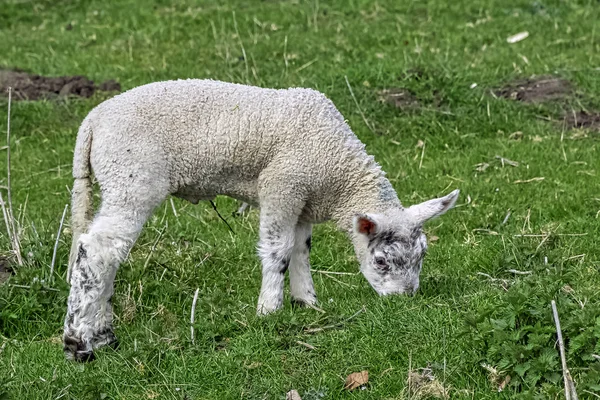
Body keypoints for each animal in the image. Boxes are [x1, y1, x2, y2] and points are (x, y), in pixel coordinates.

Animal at [63, 79, 460, 362]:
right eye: (380, 261)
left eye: (422, 256)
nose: (404, 301)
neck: (339, 174)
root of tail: (92, 122)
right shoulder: (282, 184)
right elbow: (278, 250)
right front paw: (269, 310)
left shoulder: (304, 199)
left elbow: (301, 249)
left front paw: (306, 302)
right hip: (132, 178)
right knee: (97, 251)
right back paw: (79, 343)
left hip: (118, 180)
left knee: (103, 254)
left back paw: (102, 334)